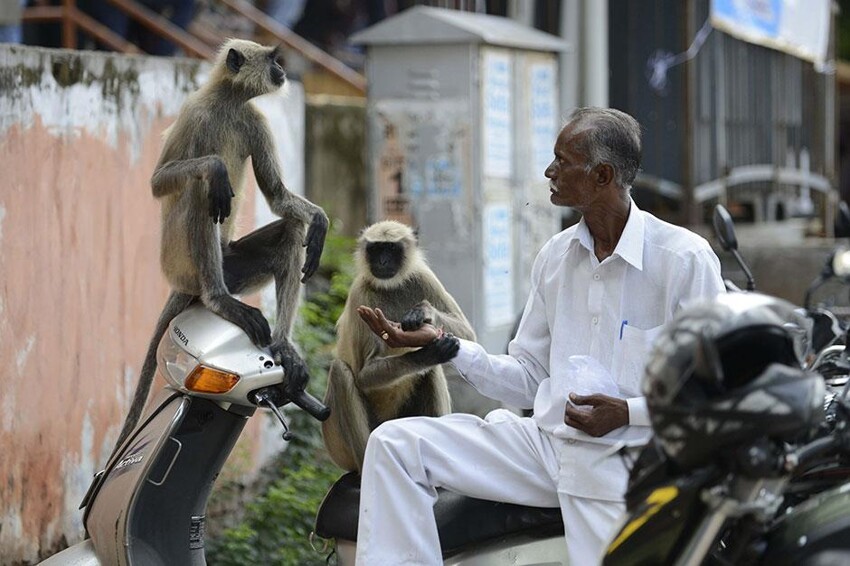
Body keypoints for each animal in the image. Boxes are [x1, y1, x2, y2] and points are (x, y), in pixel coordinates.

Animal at [116, 38, 332, 452]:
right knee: (202, 191)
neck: (228, 101)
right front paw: (215, 167)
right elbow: (160, 182)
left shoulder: (256, 120)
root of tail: (187, 285)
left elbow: (279, 197)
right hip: (183, 265)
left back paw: (282, 345)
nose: (282, 71)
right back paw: (218, 298)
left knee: (290, 230)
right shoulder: (193, 112)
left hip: (232, 266)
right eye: (274, 59)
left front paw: (320, 221)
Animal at [322, 222, 474, 474]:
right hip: (338, 444)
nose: (382, 261)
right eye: (376, 249)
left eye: (391, 249)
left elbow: (468, 335)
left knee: (432, 371)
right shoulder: (360, 295)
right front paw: (426, 354)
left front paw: (424, 314)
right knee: (340, 372)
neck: (389, 287)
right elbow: (364, 376)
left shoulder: (423, 277)